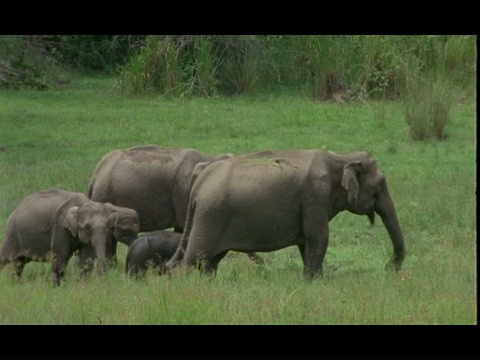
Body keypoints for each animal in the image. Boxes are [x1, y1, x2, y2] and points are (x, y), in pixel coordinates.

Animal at [0, 190, 139, 286]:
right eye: (87, 229)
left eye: (106, 227)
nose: (103, 279)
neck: (81, 205)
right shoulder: (60, 226)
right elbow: (60, 258)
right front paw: (57, 287)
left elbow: (85, 260)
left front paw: (84, 285)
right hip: (12, 233)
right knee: (6, 257)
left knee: (18, 263)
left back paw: (15, 284)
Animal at [167, 149, 406, 278]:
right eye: (381, 182)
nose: (389, 267)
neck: (341, 158)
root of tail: (200, 181)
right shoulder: (315, 196)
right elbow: (319, 238)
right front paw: (314, 282)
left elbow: (306, 243)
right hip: (210, 215)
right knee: (193, 261)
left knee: (210, 263)